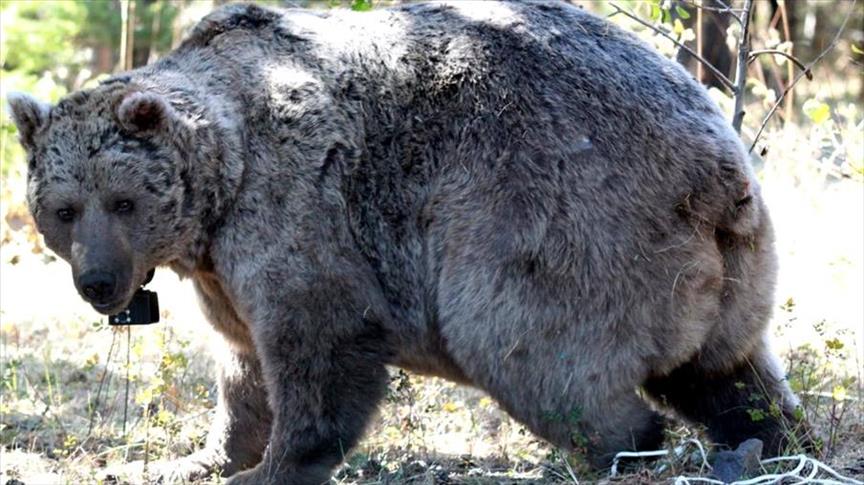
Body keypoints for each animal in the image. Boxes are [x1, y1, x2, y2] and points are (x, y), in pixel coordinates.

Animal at [8, 2, 810, 483]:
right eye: (64, 209)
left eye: (122, 200)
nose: (99, 283)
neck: (220, 189)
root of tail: (718, 165)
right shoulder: (220, 272)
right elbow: (241, 366)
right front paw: (200, 456)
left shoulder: (299, 210)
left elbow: (318, 345)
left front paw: (274, 465)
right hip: (730, 271)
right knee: (729, 369)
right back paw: (766, 438)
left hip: (557, 224)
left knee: (527, 348)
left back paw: (616, 448)